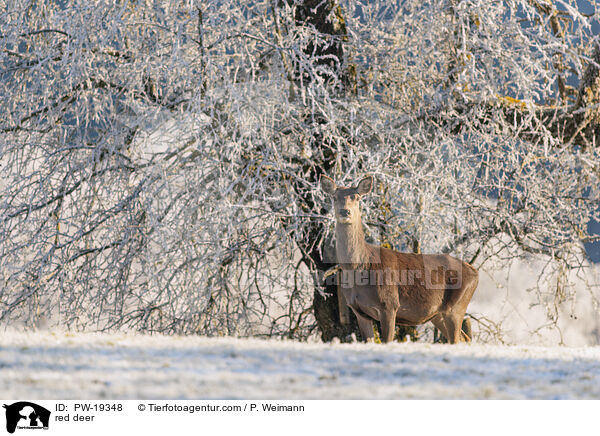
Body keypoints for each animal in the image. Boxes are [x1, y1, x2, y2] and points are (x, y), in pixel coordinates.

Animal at [322, 175, 480, 344]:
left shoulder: (389, 304)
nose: (345, 211)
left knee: (457, 338)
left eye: (357, 197)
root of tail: (475, 272)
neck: (360, 267)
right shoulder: (359, 311)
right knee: (464, 338)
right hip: (437, 314)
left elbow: (387, 341)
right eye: (334, 197)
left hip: (457, 306)